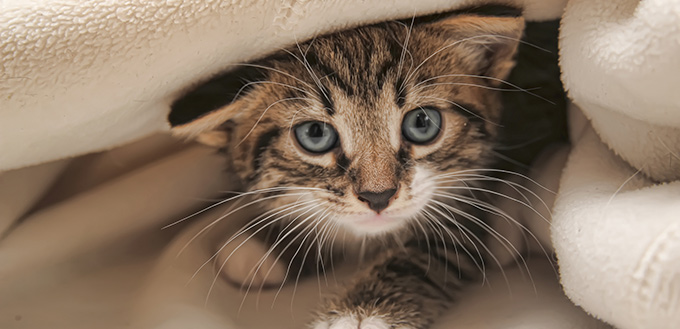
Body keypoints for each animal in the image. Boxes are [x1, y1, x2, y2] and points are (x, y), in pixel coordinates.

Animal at [170, 5, 524, 328]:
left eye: (422, 123)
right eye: (315, 134)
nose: (378, 196)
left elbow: (435, 250)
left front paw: (361, 314)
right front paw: (269, 244)